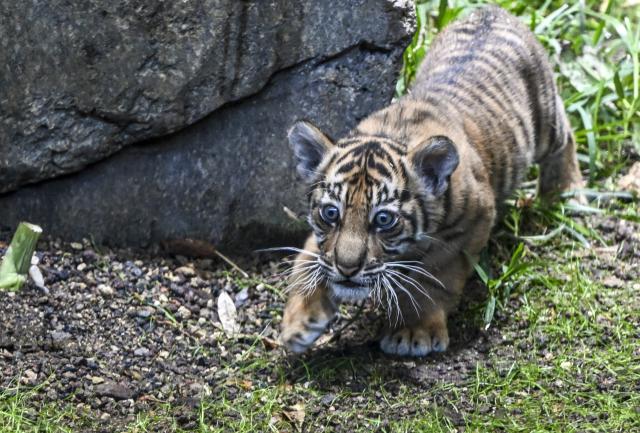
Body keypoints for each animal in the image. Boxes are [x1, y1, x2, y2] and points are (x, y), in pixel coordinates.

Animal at [279, 5, 583, 356]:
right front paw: (298, 324)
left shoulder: (469, 226)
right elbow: (308, 256)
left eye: (383, 220)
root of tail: (492, 9)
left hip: (545, 119)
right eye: (330, 213)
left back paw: (567, 194)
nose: (347, 268)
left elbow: (430, 280)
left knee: (565, 136)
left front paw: (413, 333)